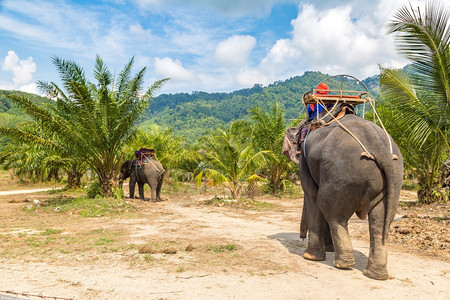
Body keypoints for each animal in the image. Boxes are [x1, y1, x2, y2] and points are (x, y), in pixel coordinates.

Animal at [284, 113, 402, 280]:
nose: (301, 237)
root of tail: (378, 146)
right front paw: (328, 248)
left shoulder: (305, 163)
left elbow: (312, 196)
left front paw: (312, 256)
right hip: (394, 176)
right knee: (381, 219)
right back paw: (375, 274)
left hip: (341, 175)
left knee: (331, 210)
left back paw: (343, 264)